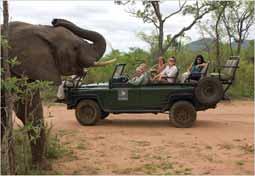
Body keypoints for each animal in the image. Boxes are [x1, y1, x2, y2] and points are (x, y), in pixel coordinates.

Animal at [1, 18, 110, 166]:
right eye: (75, 48)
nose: (55, 20)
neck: (40, 30)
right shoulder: (15, 68)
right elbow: (28, 110)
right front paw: (43, 167)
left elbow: (27, 110)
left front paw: (40, 166)